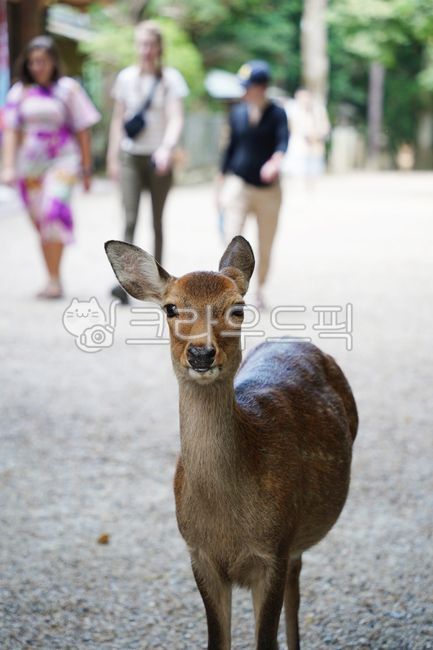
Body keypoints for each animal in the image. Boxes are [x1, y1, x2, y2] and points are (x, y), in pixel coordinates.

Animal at [105, 235, 358, 650]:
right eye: (171, 307)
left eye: (237, 309)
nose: (201, 353)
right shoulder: (199, 554)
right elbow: (216, 640)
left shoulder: (273, 549)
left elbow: (265, 640)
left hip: (295, 539)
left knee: (296, 585)